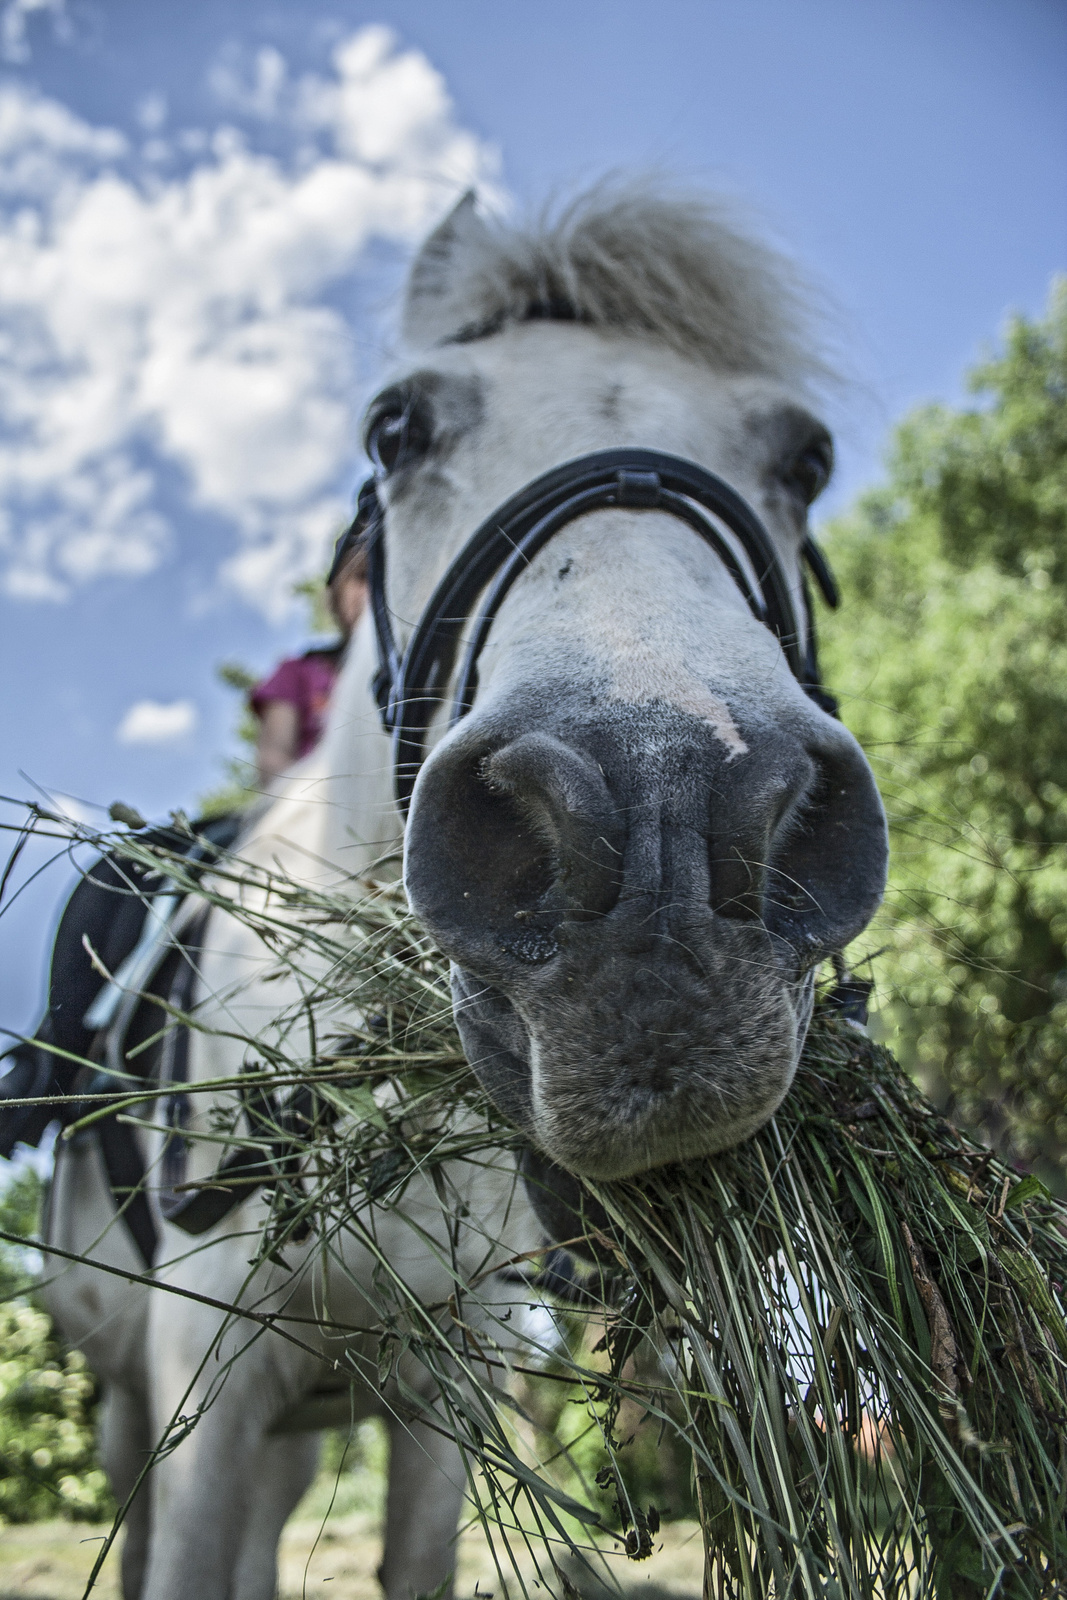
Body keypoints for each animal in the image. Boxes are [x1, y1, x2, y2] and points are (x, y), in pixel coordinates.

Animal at [37, 181, 889, 1593]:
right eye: (397, 426)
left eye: (806, 458)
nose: (659, 835)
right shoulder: (200, 1385)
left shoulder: (450, 1377)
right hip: (125, 1407)